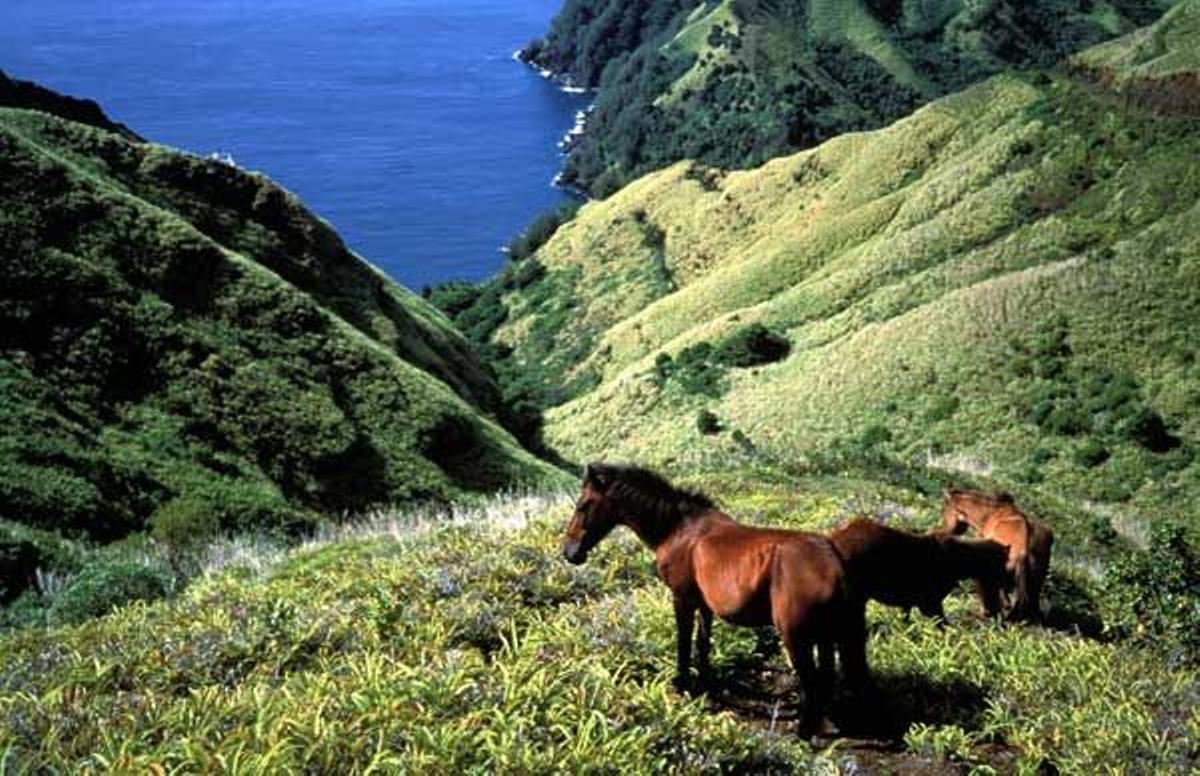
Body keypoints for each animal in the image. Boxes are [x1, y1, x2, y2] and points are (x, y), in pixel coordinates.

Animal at [561, 465, 864, 738]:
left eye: (584, 505)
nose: (569, 552)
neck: (679, 529)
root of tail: (834, 563)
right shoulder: (703, 604)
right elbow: (702, 643)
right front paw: (705, 684)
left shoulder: (682, 598)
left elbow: (684, 642)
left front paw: (682, 685)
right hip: (823, 637)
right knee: (825, 679)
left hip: (795, 636)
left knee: (812, 681)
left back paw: (803, 732)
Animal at [835, 518, 1012, 623]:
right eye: (1001, 568)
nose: (996, 613)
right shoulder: (929, 603)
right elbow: (943, 625)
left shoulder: (911, 603)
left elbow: (905, 621)